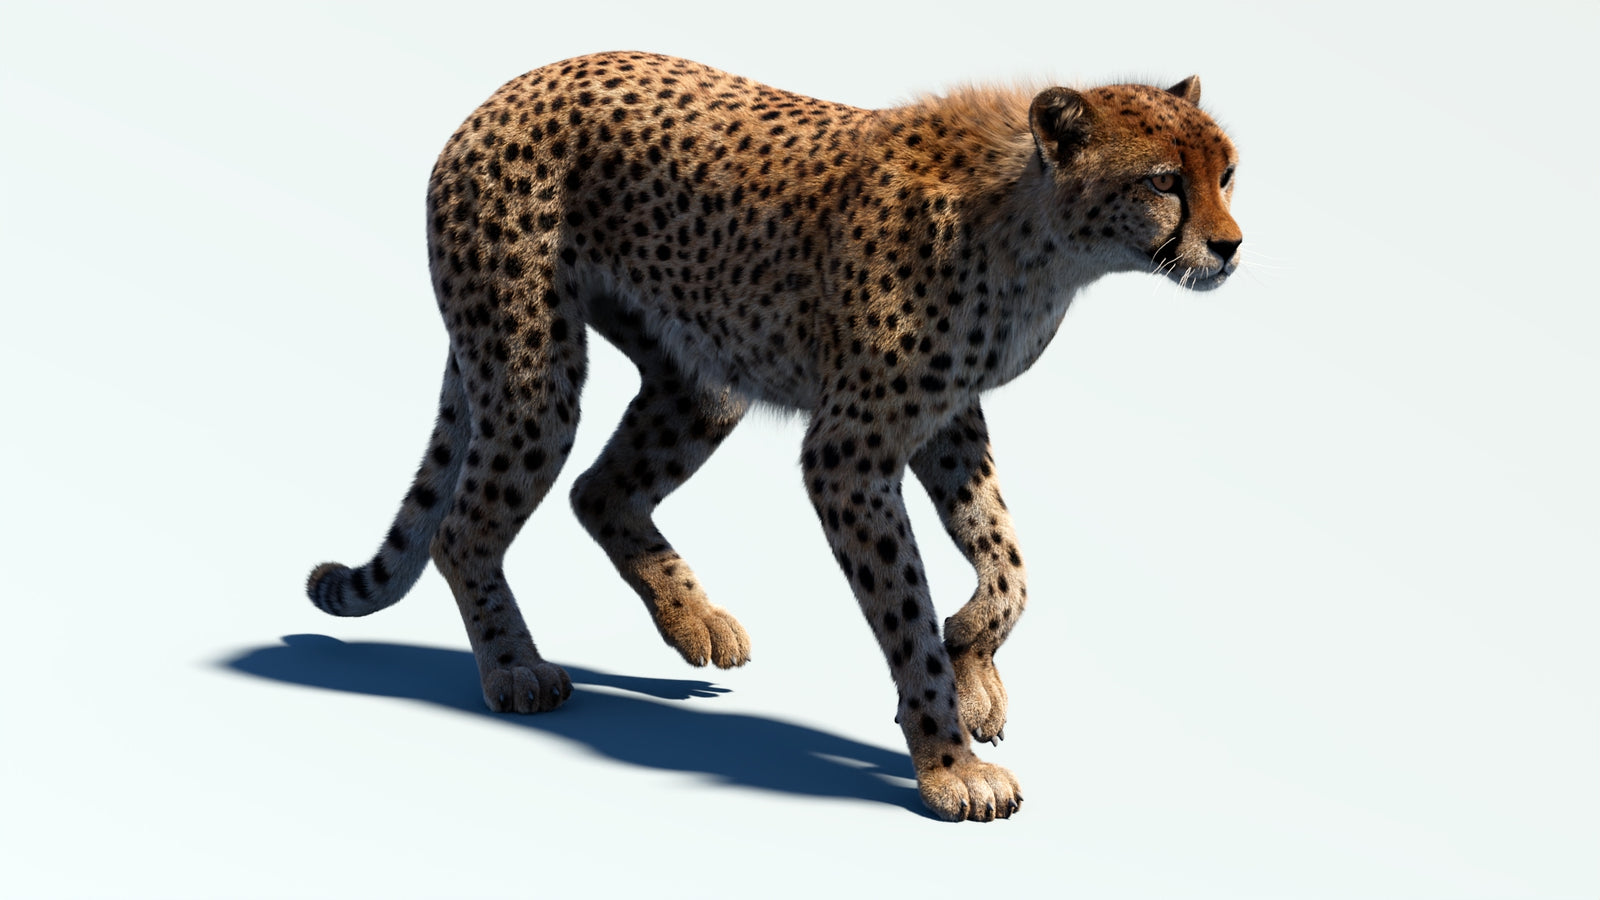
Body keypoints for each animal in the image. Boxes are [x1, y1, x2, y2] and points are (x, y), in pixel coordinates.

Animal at [306, 51, 1243, 822]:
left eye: (1229, 173)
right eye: (1165, 180)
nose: (1230, 246)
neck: (1040, 234)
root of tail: (505, 91)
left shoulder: (948, 418)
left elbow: (1006, 557)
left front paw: (973, 662)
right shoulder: (851, 453)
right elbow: (904, 609)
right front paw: (948, 762)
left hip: (703, 379)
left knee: (598, 490)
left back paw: (694, 622)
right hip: (533, 372)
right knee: (466, 526)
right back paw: (513, 669)